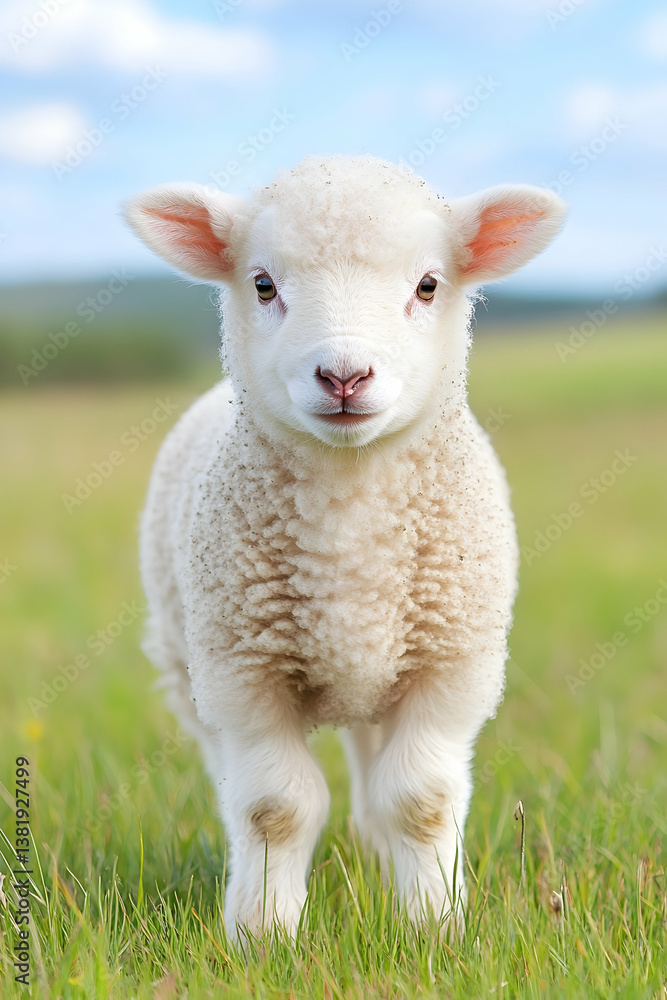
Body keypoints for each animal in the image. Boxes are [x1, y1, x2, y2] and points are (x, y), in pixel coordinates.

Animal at [124, 155, 566, 939]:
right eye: (263, 284)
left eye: (428, 285)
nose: (344, 376)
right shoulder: (244, 675)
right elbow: (273, 808)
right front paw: (263, 934)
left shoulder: (450, 666)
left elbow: (419, 801)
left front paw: (432, 926)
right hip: (189, 668)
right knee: (231, 775)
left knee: (372, 773)